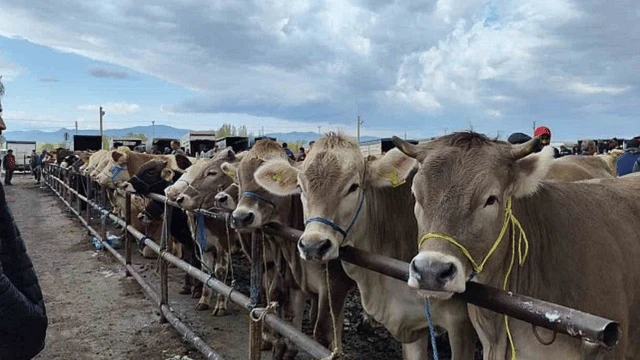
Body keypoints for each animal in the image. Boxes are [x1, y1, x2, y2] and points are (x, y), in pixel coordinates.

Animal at [221, 139, 356, 358]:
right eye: (239, 178)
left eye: (266, 183)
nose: (241, 217)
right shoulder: (287, 275)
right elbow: (283, 303)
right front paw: (279, 344)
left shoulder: (335, 285)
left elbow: (325, 331)